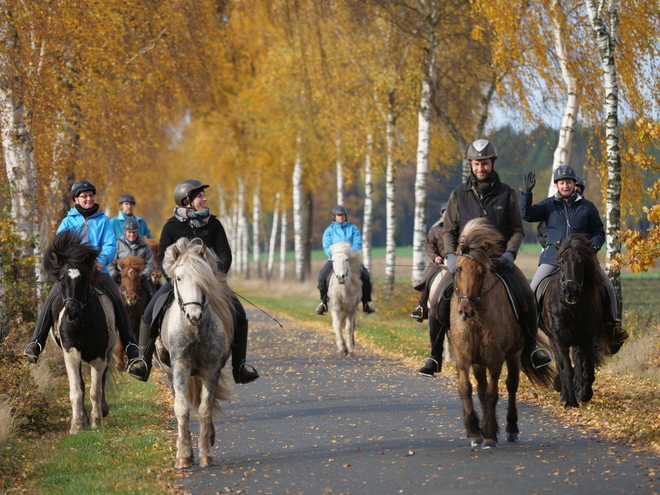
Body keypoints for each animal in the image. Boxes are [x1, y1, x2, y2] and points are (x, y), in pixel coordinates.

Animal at [43, 229, 118, 434]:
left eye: (83, 278)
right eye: (62, 278)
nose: (71, 311)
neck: (81, 324)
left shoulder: (99, 357)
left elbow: (96, 391)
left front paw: (97, 422)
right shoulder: (71, 353)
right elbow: (77, 391)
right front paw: (77, 425)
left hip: (109, 352)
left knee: (101, 381)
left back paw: (102, 410)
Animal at [155, 238, 235, 470]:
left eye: (204, 279)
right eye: (179, 278)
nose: (194, 315)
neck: (194, 330)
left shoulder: (211, 371)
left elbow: (205, 409)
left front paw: (206, 455)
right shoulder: (180, 368)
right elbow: (182, 409)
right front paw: (183, 456)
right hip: (169, 372)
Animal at [448, 219, 552, 448]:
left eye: (481, 271)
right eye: (457, 269)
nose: (465, 311)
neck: (477, 318)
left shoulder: (495, 357)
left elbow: (493, 393)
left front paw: (488, 434)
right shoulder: (463, 355)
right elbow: (466, 388)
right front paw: (473, 431)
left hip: (514, 355)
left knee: (511, 386)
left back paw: (510, 428)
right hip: (479, 361)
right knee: (480, 389)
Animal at [540, 234, 612, 408]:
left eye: (582, 262)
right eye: (561, 262)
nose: (570, 291)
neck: (571, 307)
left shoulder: (587, 337)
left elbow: (588, 371)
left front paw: (584, 394)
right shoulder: (559, 339)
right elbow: (567, 369)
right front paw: (570, 401)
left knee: (579, 362)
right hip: (554, 339)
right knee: (562, 365)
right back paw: (565, 395)